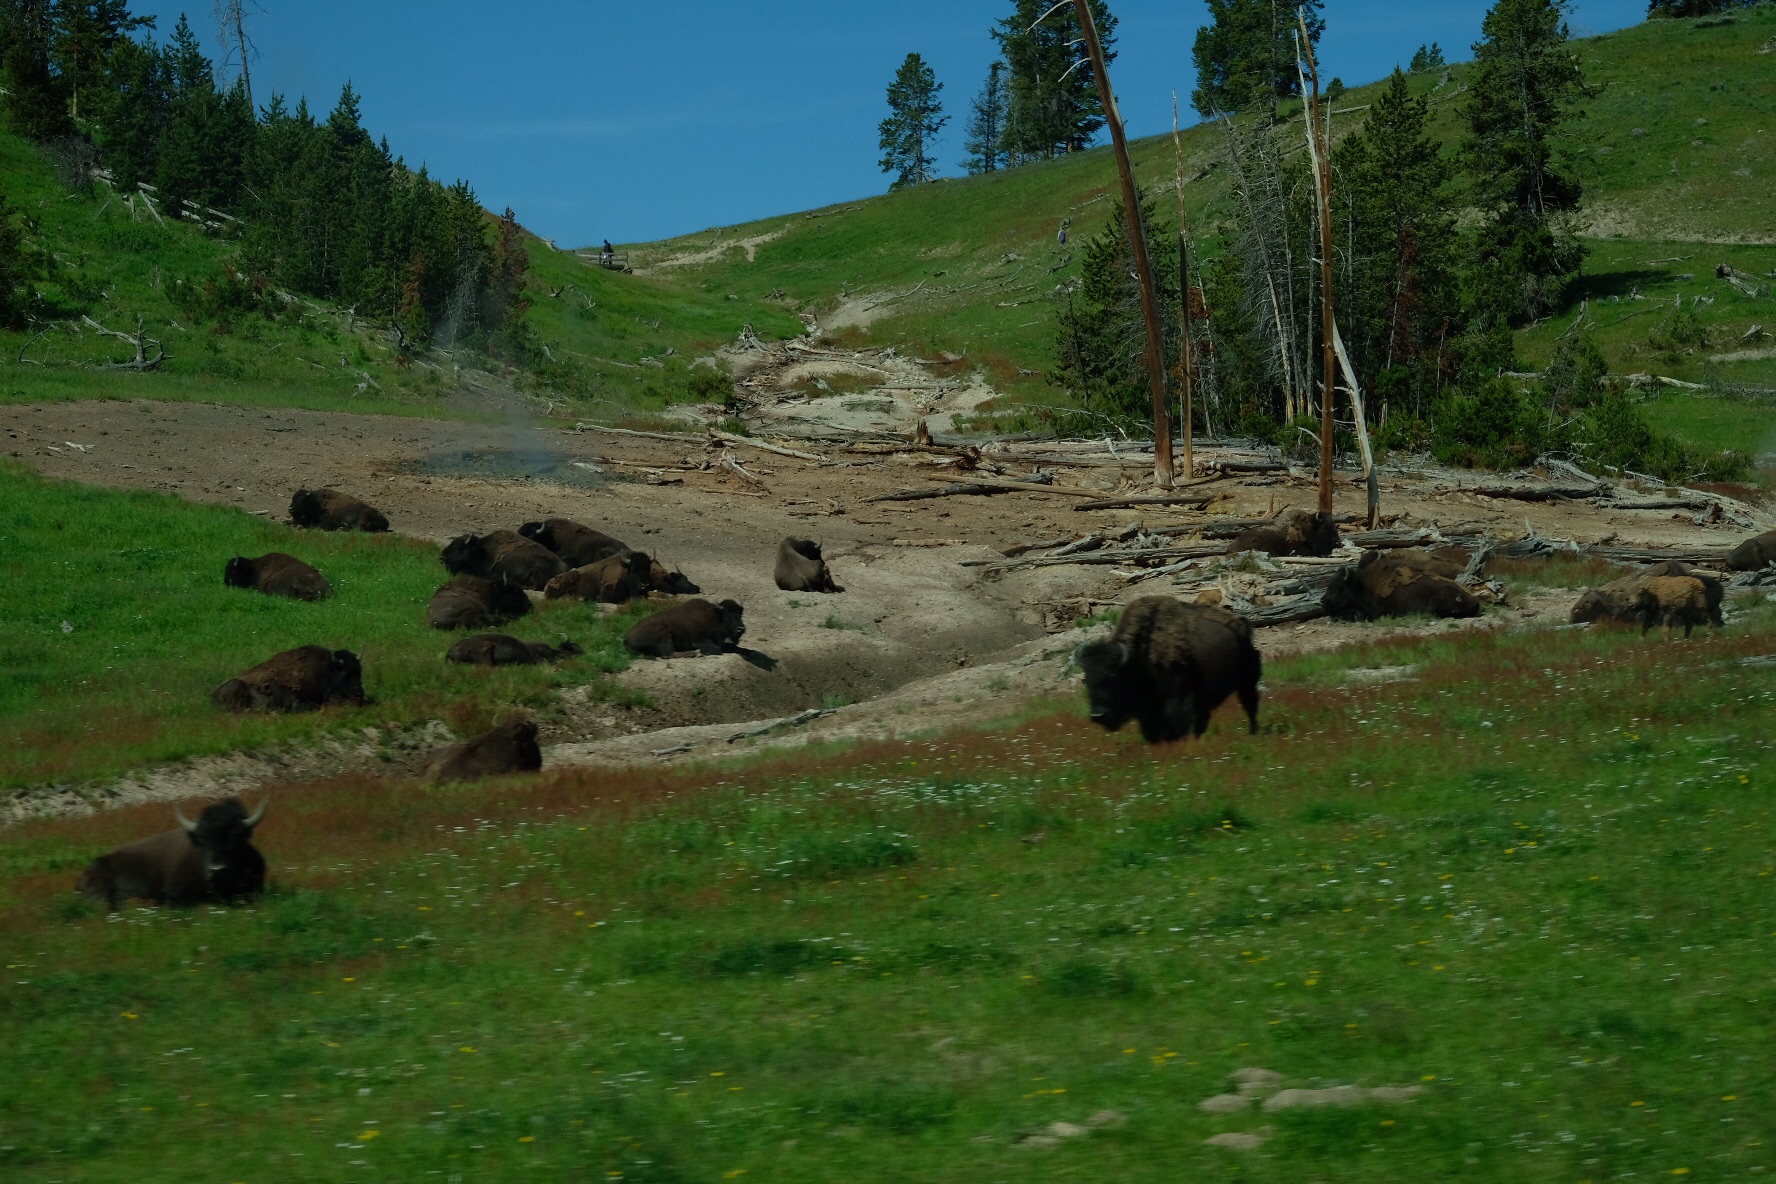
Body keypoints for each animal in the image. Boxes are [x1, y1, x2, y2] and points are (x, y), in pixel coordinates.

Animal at [211, 649, 364, 713]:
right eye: (345, 673)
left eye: (359, 672)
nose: (360, 696)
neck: (327, 670)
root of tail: (213, 694)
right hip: (237, 686)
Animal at [1065, 596, 1264, 745]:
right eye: (1087, 680)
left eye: (1113, 678)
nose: (1098, 715)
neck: (1138, 660)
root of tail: (1242, 623)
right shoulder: (1148, 710)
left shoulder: (1178, 697)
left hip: (1247, 682)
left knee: (1250, 706)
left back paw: (1253, 733)